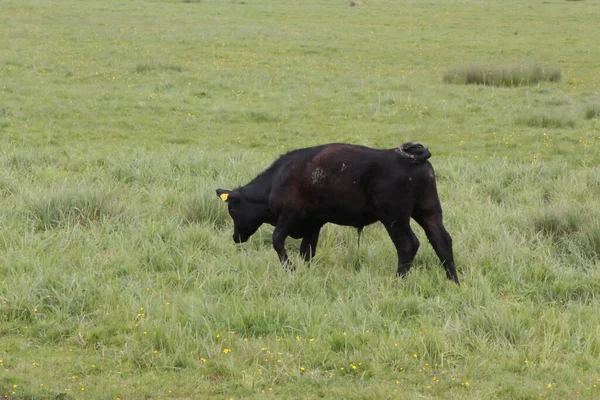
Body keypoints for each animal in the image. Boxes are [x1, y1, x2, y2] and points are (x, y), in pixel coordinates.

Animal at [217, 142, 460, 282]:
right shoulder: (313, 224)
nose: (236, 237)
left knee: (408, 244)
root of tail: (408, 155)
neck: (278, 179)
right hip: (428, 212)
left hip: (394, 218)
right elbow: (307, 251)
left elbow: (277, 241)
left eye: (232, 208)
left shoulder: (288, 216)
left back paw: (398, 281)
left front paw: (290, 269)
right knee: (442, 241)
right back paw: (453, 281)